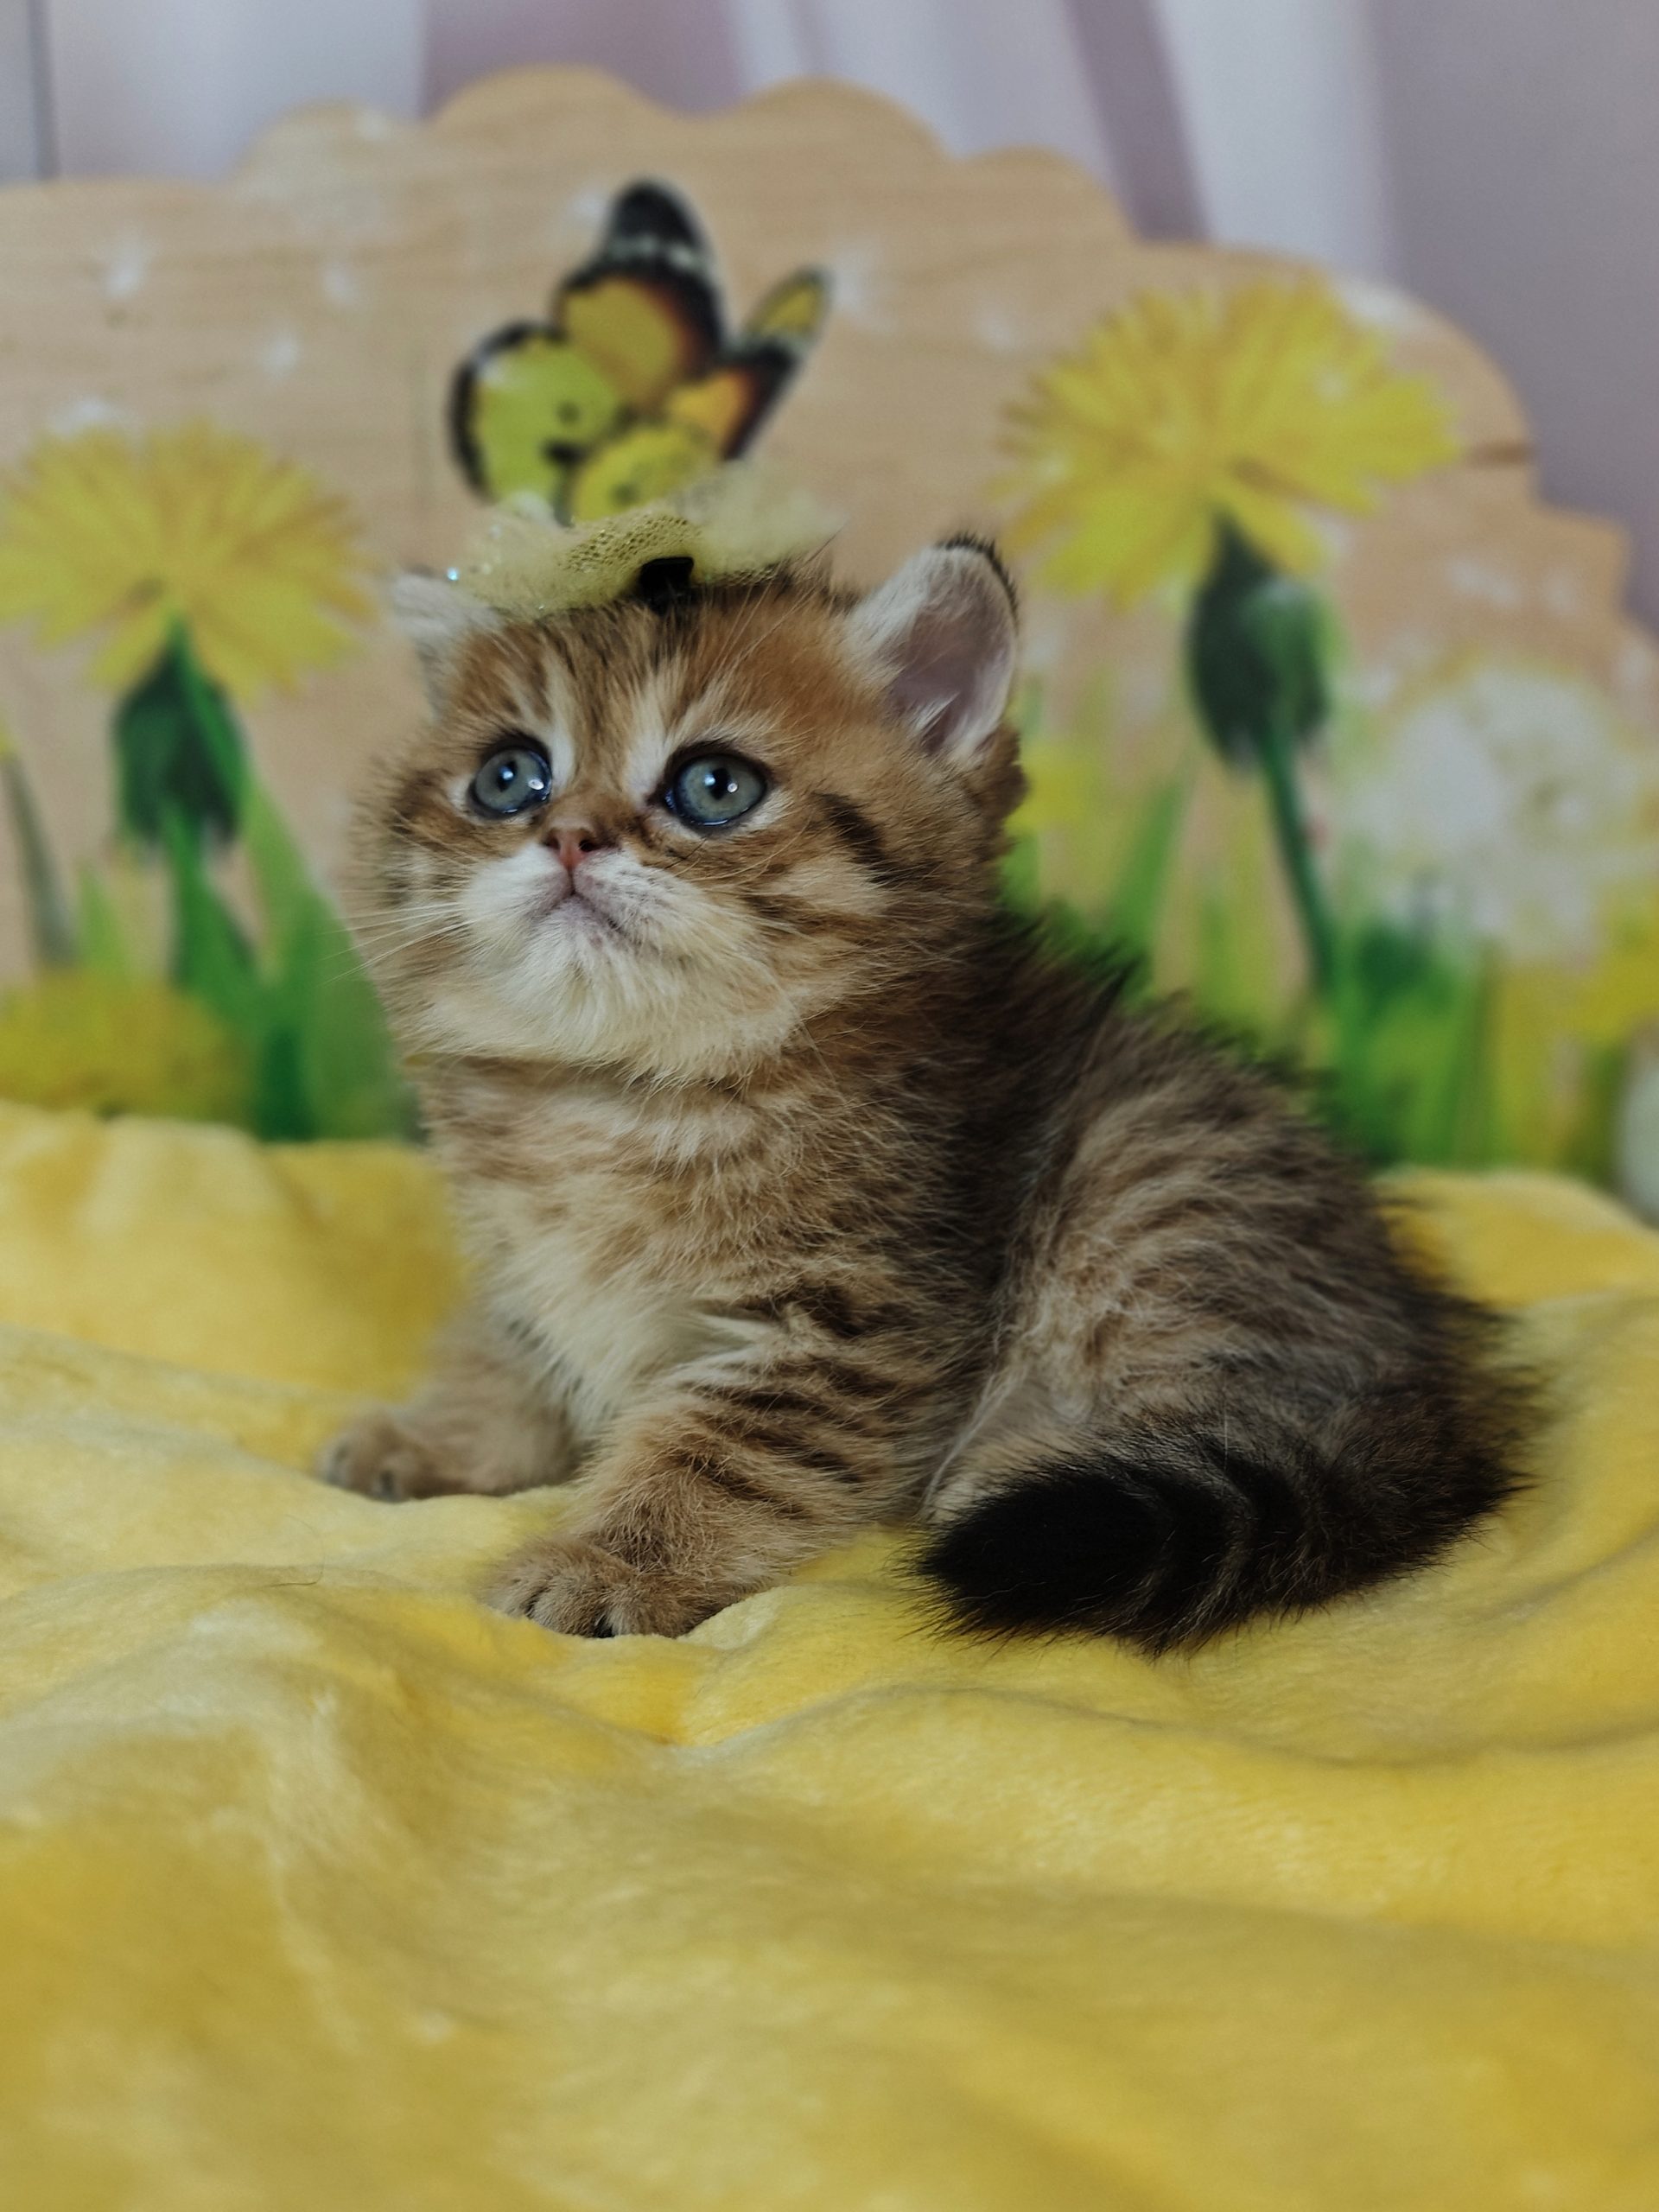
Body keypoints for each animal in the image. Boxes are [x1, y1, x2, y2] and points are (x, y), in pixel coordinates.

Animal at [321, 536, 1531, 1647]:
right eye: (507, 778)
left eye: (714, 787)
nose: (568, 835)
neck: (618, 1094)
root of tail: (1429, 1376)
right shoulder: (525, 1273)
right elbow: (509, 1357)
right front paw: (437, 1439)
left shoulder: (852, 1328)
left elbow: (716, 1455)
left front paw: (604, 1563)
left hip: (1142, 1198)